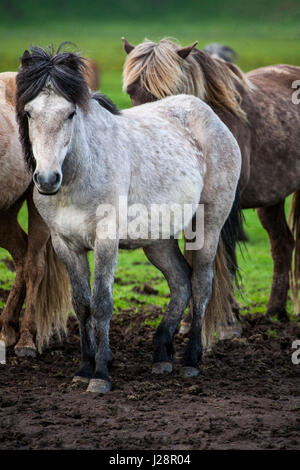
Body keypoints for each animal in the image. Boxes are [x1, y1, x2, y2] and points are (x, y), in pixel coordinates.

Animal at [122, 38, 300, 322]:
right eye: (131, 90)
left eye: (168, 93)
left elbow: (223, 255)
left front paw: (226, 313)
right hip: (272, 198)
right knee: (282, 243)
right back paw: (274, 310)